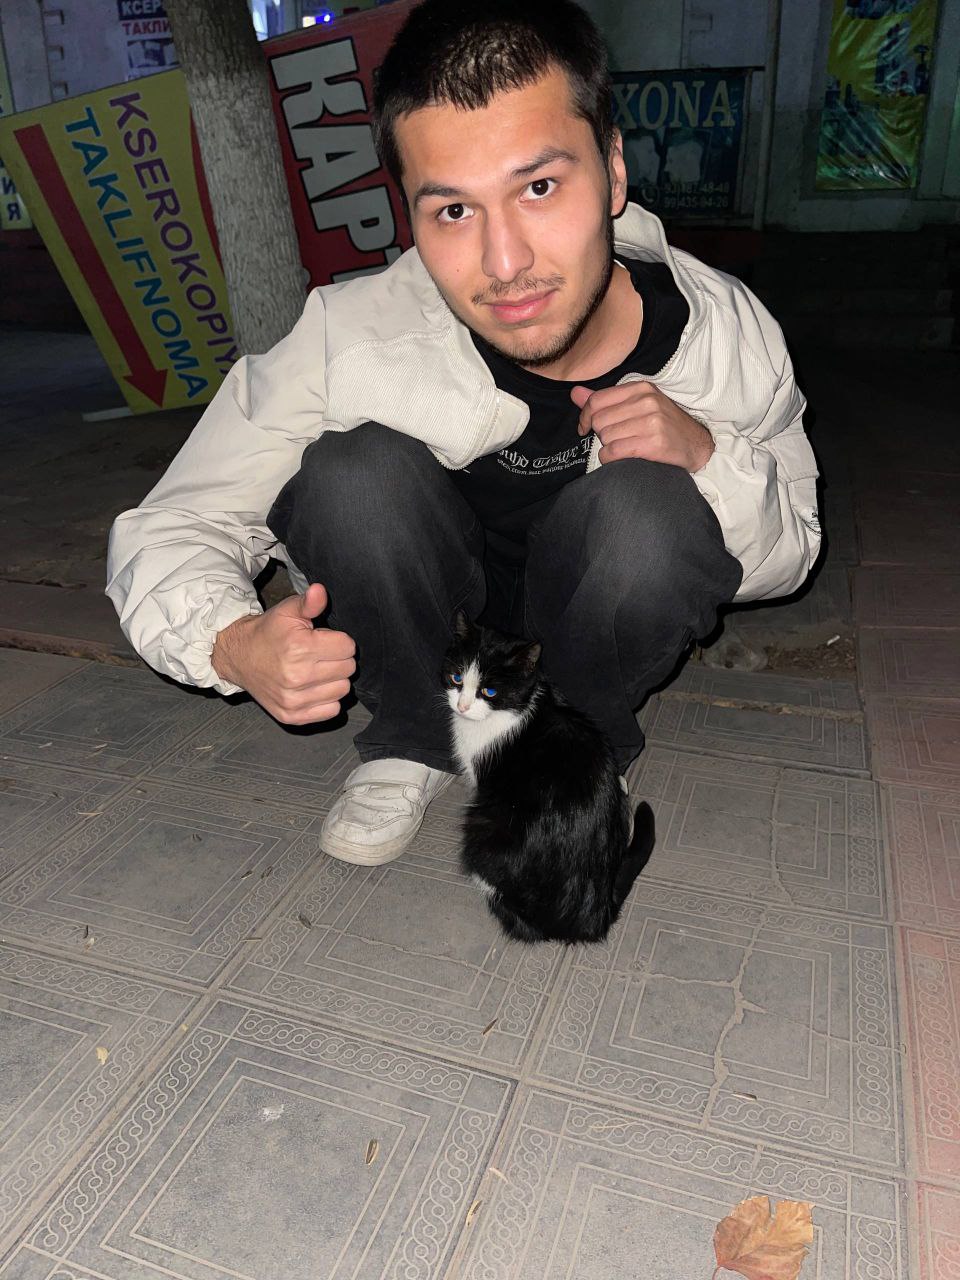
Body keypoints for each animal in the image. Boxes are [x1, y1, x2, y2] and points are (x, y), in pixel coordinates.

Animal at [443, 611, 655, 944]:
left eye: (488, 692)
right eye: (456, 678)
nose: (461, 706)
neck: (516, 708)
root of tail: (592, 917)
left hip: (485, 822)